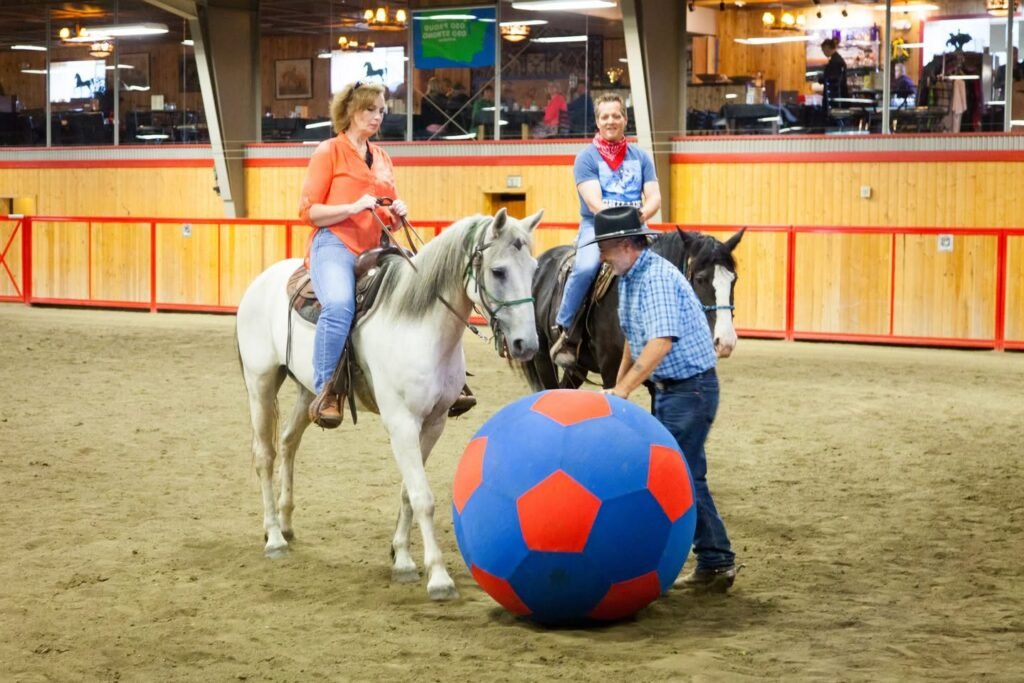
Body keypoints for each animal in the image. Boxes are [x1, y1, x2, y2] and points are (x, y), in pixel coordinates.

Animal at [235, 209, 542, 601]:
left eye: (533, 269)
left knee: (289, 441)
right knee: (265, 455)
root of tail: (261, 281)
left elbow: (408, 492)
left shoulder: (434, 423)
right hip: (260, 383)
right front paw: (438, 577)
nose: (526, 344)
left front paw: (403, 559)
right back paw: (274, 537)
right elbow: (423, 496)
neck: (417, 326)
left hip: (307, 390)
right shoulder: (402, 424)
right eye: (498, 271)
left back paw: (287, 523)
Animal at [517, 227, 745, 392]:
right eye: (700, 279)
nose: (726, 342)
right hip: (543, 358)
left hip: (577, 367)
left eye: (734, 279)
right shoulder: (610, 373)